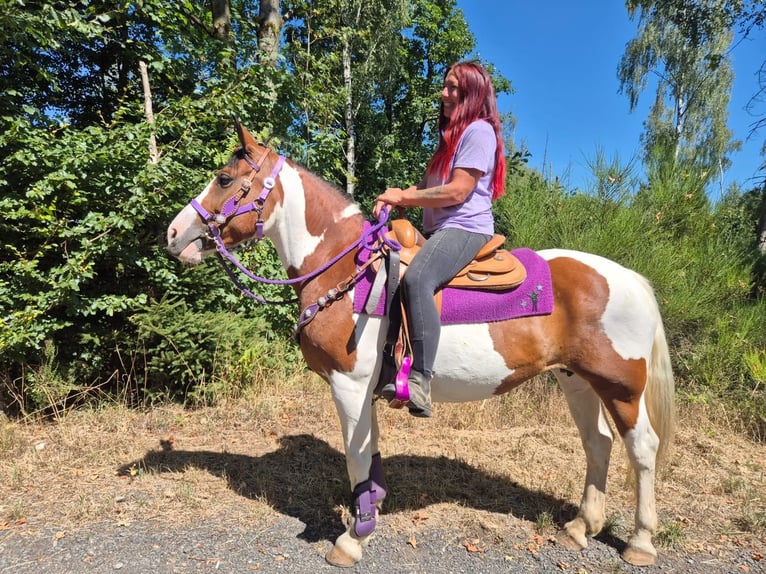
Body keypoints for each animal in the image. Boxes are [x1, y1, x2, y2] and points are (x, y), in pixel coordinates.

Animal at [166, 122, 675, 568]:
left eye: (224, 178)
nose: (172, 234)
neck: (346, 270)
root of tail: (631, 279)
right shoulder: (365, 390)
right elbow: (369, 455)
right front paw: (369, 512)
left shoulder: (349, 384)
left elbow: (356, 457)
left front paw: (353, 538)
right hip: (577, 381)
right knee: (598, 443)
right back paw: (580, 527)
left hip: (621, 387)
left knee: (642, 448)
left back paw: (640, 543)